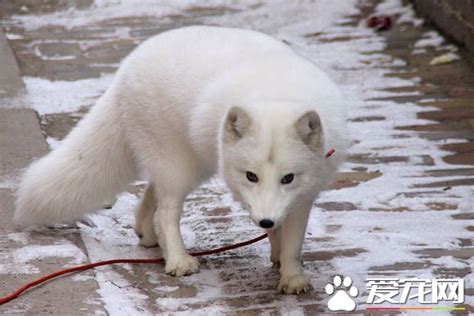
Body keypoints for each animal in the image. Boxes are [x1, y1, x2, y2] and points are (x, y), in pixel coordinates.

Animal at [15, 25, 348, 296]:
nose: (265, 220)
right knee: (165, 213)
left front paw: (290, 274)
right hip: (181, 168)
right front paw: (283, 262)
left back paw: (147, 236)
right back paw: (177, 260)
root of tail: (124, 70)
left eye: (287, 178)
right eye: (251, 176)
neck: (274, 94)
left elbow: (291, 240)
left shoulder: (302, 195)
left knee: (151, 195)